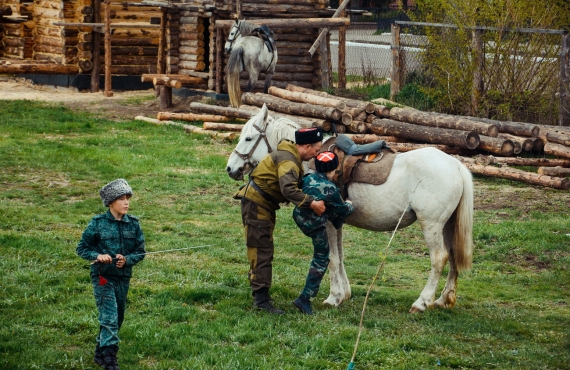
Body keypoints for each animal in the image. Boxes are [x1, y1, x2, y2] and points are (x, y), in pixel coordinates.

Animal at [224, 103, 472, 312]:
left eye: (248, 138)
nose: (230, 168)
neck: (314, 161)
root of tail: (456, 165)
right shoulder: (337, 221)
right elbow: (340, 256)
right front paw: (344, 294)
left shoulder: (326, 221)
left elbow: (332, 259)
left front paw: (334, 297)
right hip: (447, 225)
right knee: (452, 255)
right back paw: (443, 299)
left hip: (431, 225)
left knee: (439, 258)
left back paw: (422, 302)